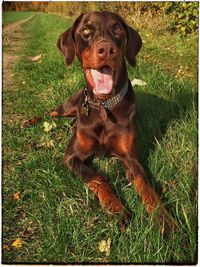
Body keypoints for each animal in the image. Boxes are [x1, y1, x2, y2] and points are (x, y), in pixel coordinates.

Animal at [22, 11, 176, 232]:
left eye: (117, 29)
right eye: (86, 30)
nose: (106, 50)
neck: (104, 107)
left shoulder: (132, 158)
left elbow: (145, 185)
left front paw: (164, 218)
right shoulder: (71, 157)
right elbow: (97, 177)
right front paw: (115, 207)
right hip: (68, 107)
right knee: (50, 112)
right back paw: (29, 121)